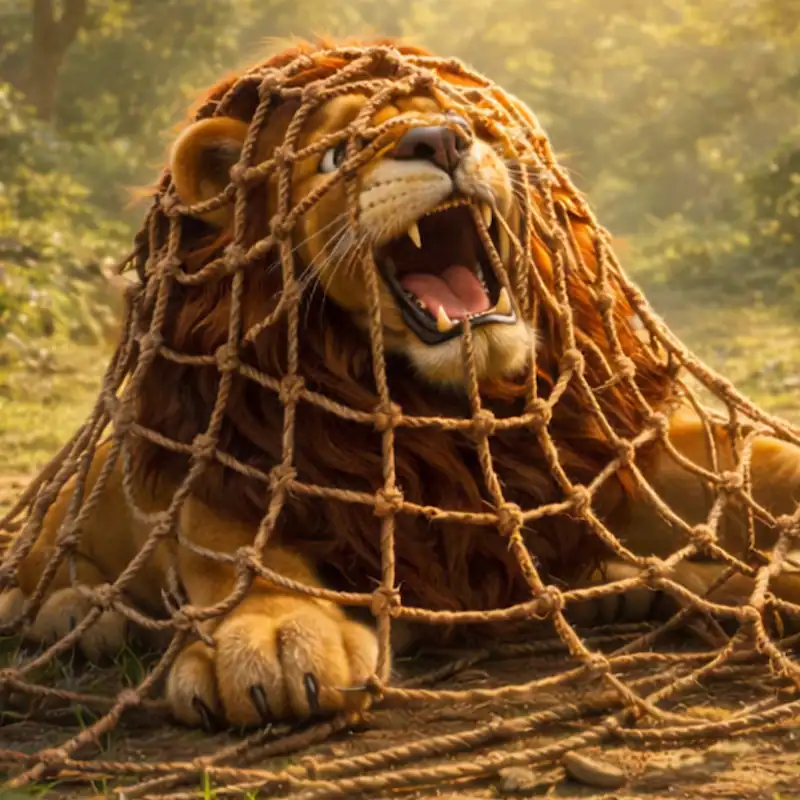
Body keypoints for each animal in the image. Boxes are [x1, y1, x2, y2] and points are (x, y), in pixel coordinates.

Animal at [1, 39, 799, 732]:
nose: (444, 141)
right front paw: (275, 633)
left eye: (468, 119)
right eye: (336, 153)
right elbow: (231, 545)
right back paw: (79, 616)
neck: (439, 404)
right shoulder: (220, 451)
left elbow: (756, 465)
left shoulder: (594, 460)